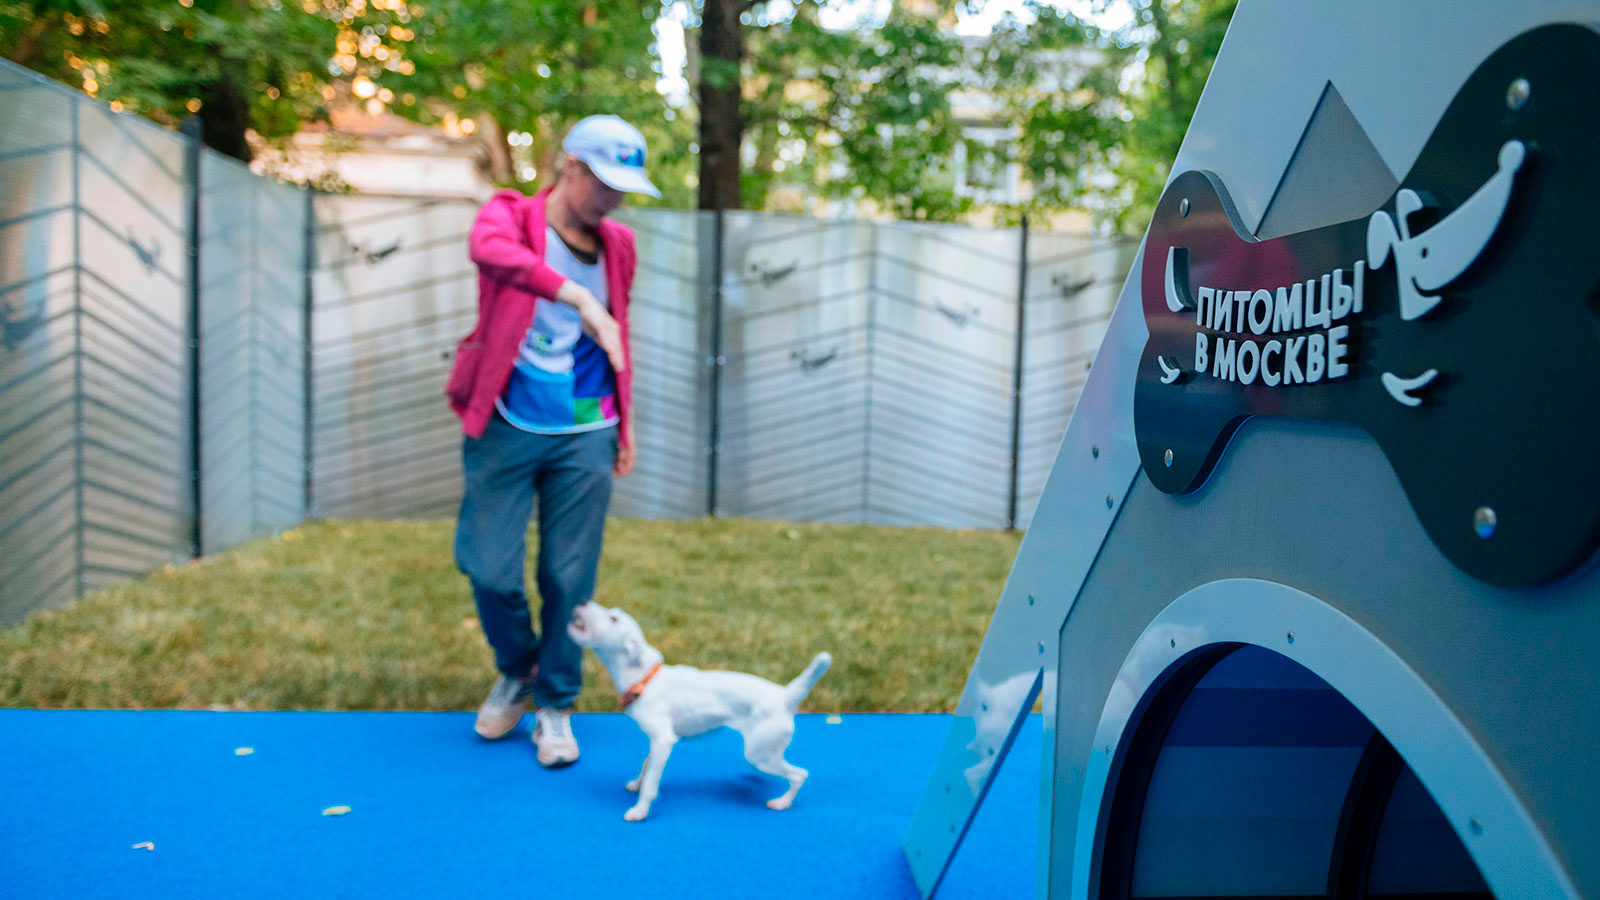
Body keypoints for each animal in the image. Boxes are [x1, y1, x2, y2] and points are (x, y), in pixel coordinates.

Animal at [567, 602, 831, 821]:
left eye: (613, 619)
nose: (583, 601)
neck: (645, 679)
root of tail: (785, 695)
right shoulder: (656, 742)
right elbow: (646, 764)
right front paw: (637, 783)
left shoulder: (663, 740)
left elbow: (652, 782)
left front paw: (640, 810)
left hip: (759, 755)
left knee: (799, 774)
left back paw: (782, 803)